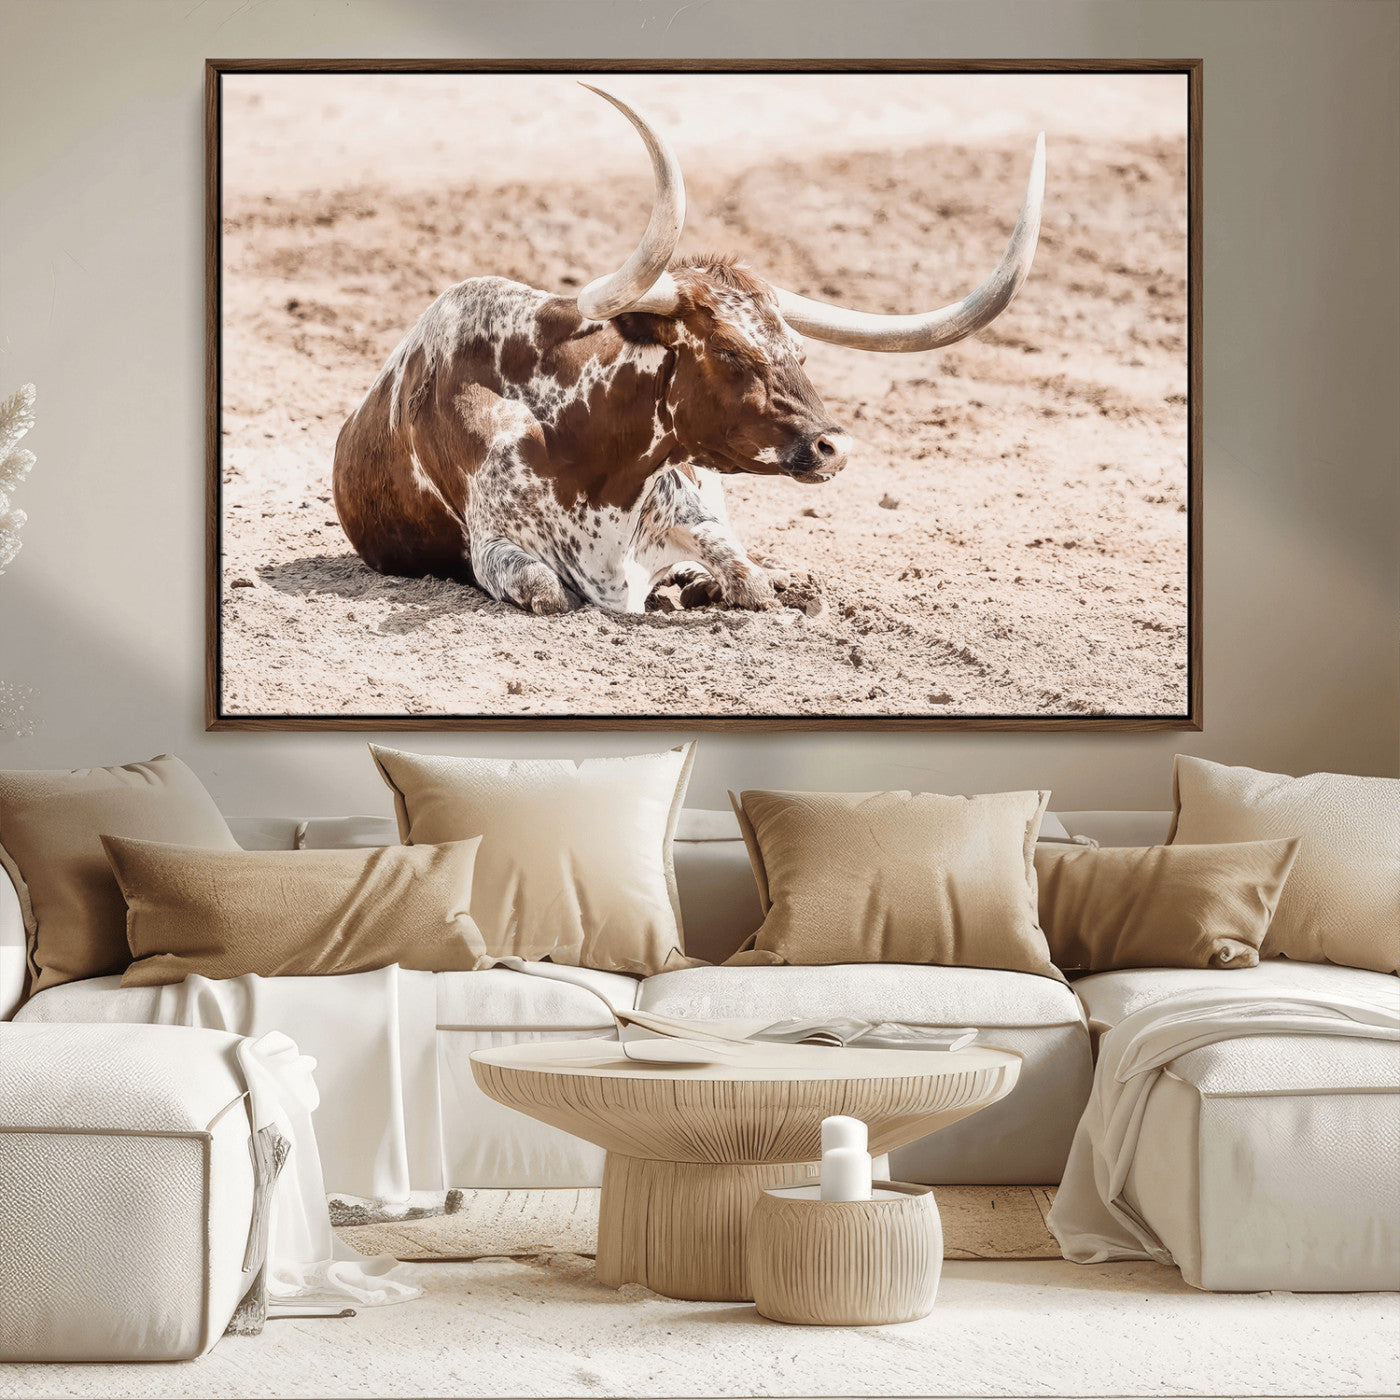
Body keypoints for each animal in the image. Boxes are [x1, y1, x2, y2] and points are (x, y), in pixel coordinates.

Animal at [332, 85, 1045, 615]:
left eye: (799, 351)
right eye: (729, 353)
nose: (833, 447)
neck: (587, 449)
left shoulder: (695, 510)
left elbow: (747, 577)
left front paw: (732, 584)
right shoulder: (495, 548)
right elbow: (549, 591)